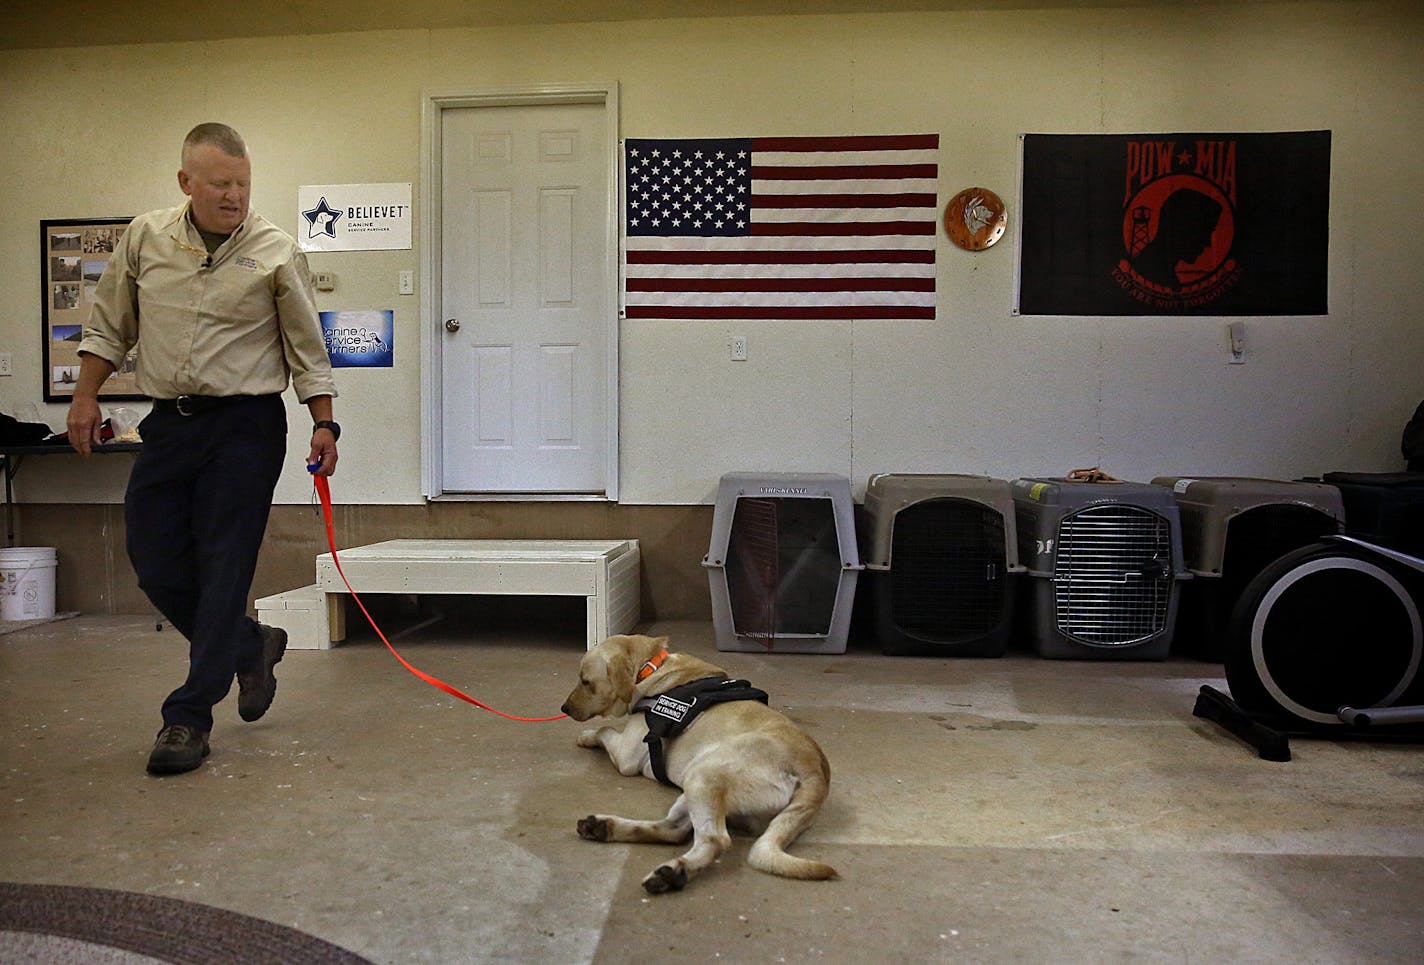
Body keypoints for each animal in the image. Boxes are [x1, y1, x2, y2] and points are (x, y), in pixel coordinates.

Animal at [558, 634, 831, 899]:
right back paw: (604, 827)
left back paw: (675, 872)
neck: (649, 667)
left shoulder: (627, 755)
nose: (564, 708)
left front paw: (588, 735)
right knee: (674, 830)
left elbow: (605, 730)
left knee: (714, 839)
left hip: (703, 775)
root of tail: (815, 771)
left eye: (585, 681)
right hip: (696, 783)